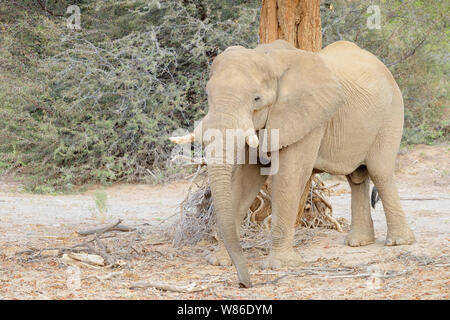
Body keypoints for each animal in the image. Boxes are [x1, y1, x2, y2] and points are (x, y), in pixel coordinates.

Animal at [178, 39, 414, 288]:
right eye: (208, 94)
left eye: (256, 99)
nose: (244, 284)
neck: (269, 59)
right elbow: (244, 180)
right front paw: (217, 261)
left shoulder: (308, 118)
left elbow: (288, 176)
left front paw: (278, 265)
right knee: (356, 178)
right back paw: (358, 242)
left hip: (391, 113)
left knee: (380, 171)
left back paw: (398, 242)